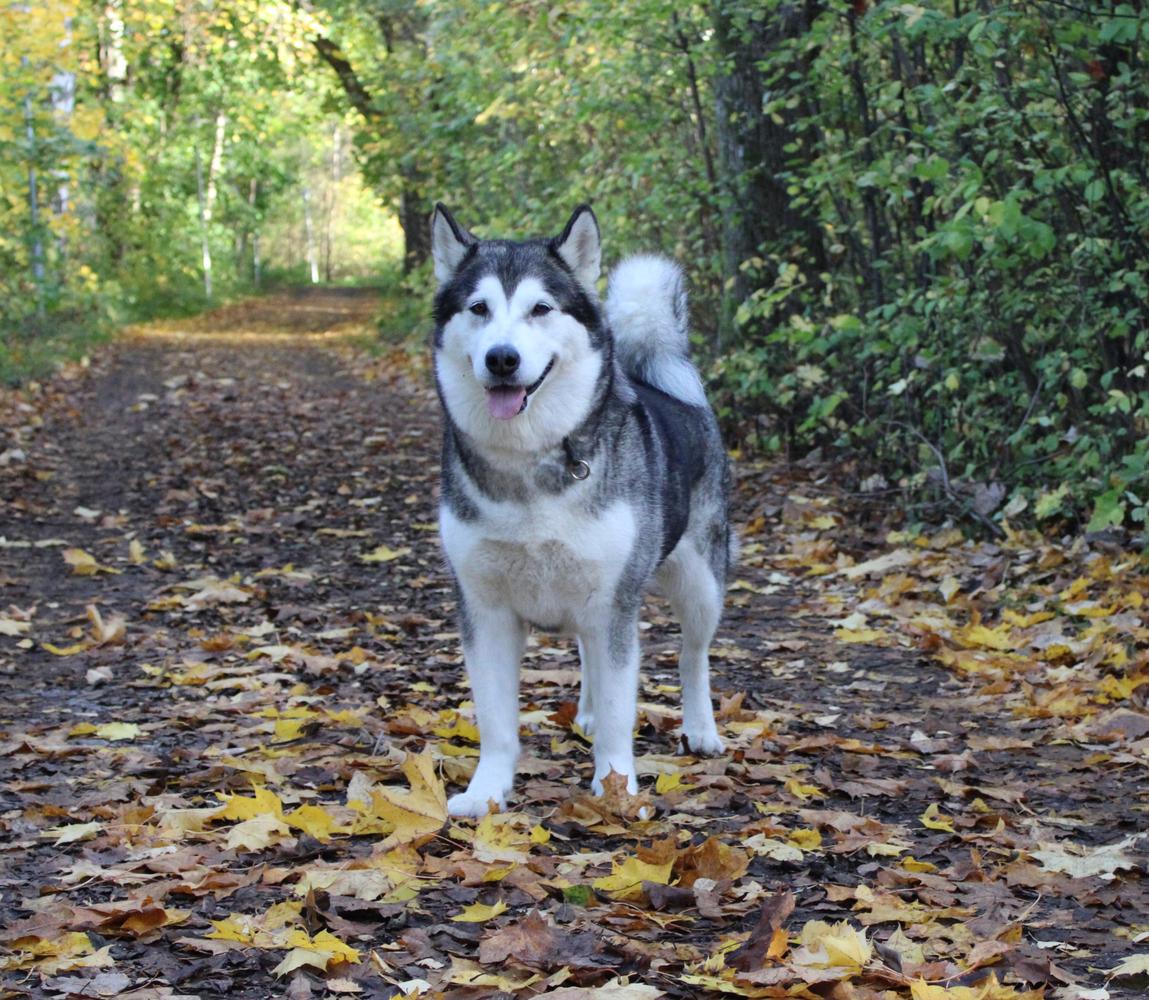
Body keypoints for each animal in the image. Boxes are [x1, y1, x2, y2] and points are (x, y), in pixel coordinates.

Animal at [427, 205, 730, 822]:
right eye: (478, 308)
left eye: (541, 308)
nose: (502, 358)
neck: (530, 462)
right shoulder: (484, 608)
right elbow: (496, 720)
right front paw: (487, 790)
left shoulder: (613, 602)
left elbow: (620, 712)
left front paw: (617, 789)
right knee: (591, 656)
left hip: (700, 584)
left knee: (693, 655)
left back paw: (700, 728)